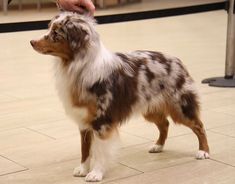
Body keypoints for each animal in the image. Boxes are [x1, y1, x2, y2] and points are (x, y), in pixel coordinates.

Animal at [30, 12, 209, 182]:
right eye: (49, 28)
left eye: (56, 33)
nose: (31, 41)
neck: (77, 66)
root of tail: (176, 60)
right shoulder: (84, 121)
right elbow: (85, 149)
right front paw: (82, 169)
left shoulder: (102, 121)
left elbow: (100, 152)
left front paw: (95, 174)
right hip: (150, 109)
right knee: (164, 124)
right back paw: (158, 146)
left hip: (180, 106)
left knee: (199, 126)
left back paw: (203, 151)